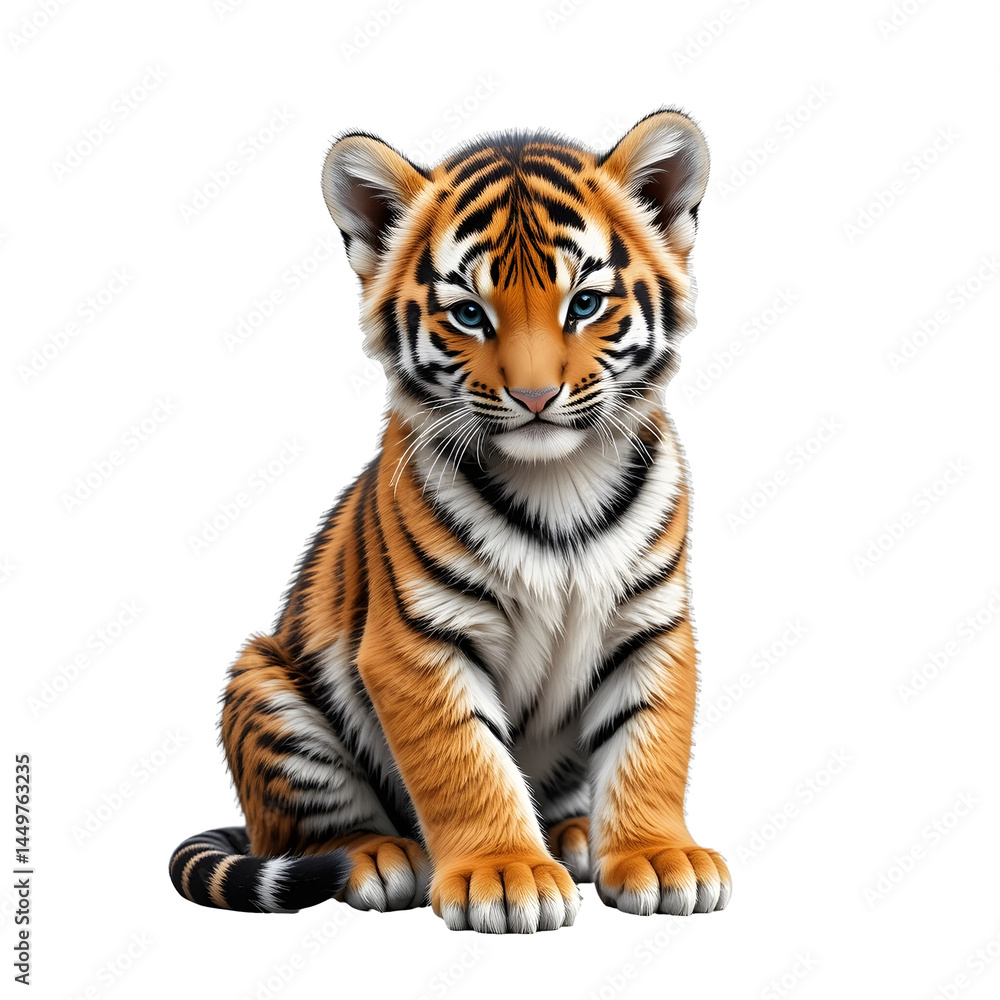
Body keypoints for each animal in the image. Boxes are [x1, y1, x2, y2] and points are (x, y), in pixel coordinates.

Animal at [168, 108, 731, 933]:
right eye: (469, 313)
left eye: (583, 304)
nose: (535, 396)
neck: (556, 478)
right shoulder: (417, 640)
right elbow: (465, 760)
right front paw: (505, 874)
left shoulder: (650, 622)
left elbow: (649, 742)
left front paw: (658, 857)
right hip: (266, 687)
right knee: (302, 833)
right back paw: (378, 855)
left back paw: (574, 835)